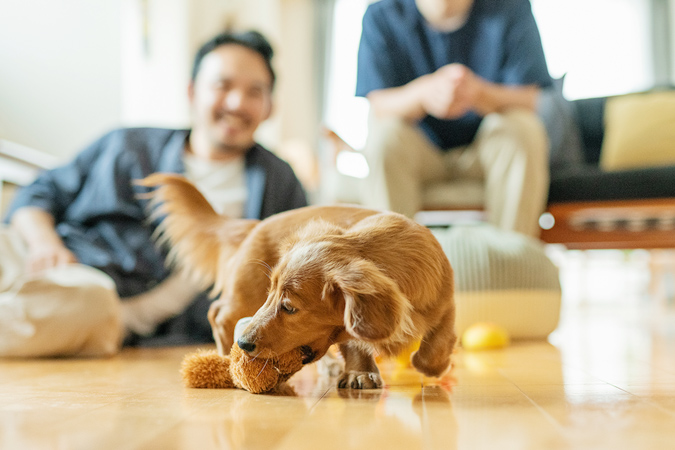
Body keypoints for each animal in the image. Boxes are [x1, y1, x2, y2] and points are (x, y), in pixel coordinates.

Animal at [143, 172, 460, 386]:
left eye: (289, 307)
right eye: (272, 298)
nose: (243, 344)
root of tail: (255, 225)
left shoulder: (445, 303)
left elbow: (439, 340)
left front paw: (432, 365)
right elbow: (355, 343)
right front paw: (361, 372)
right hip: (244, 297)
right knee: (218, 314)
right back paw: (223, 356)